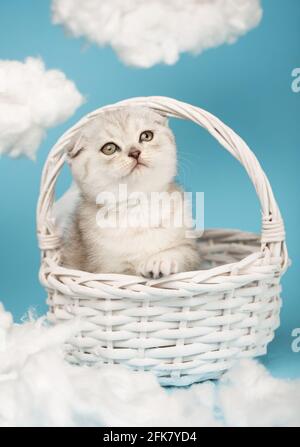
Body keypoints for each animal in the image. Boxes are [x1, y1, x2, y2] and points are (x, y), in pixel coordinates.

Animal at [62, 107, 199, 278]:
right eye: (109, 148)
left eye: (146, 136)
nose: (135, 152)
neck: (137, 205)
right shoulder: (106, 267)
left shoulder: (189, 248)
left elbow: (181, 251)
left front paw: (159, 261)